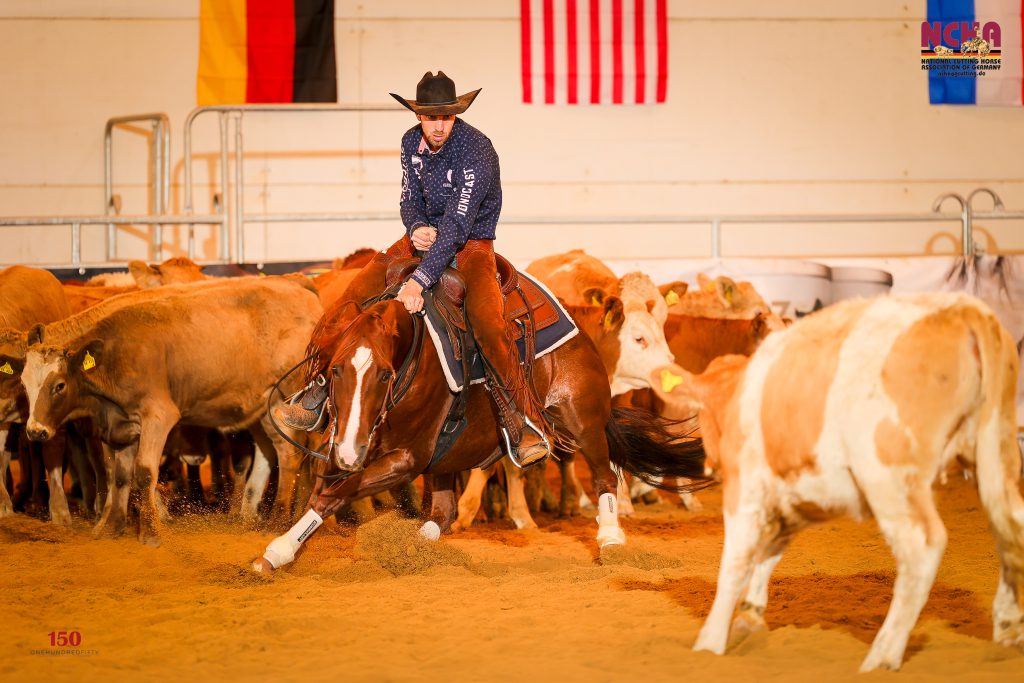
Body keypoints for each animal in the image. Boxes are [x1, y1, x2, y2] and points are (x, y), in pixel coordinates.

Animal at [256, 299, 708, 573]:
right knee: (442, 512)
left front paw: (276, 552)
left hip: (584, 421)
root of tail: (580, 331)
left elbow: (335, 494)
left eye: (384, 373)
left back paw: (611, 540)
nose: (351, 452)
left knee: (602, 476)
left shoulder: (407, 458)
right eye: (333, 369)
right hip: (447, 460)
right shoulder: (349, 446)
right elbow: (325, 490)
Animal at [651, 290, 1019, 671]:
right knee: (1009, 525)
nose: (711, 462)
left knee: (922, 546)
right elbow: (768, 551)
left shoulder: (746, 488)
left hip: (888, 475)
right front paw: (748, 618)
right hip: (997, 450)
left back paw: (881, 658)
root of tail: (962, 311)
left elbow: (736, 563)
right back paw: (1007, 632)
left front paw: (709, 643)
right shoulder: (795, 495)